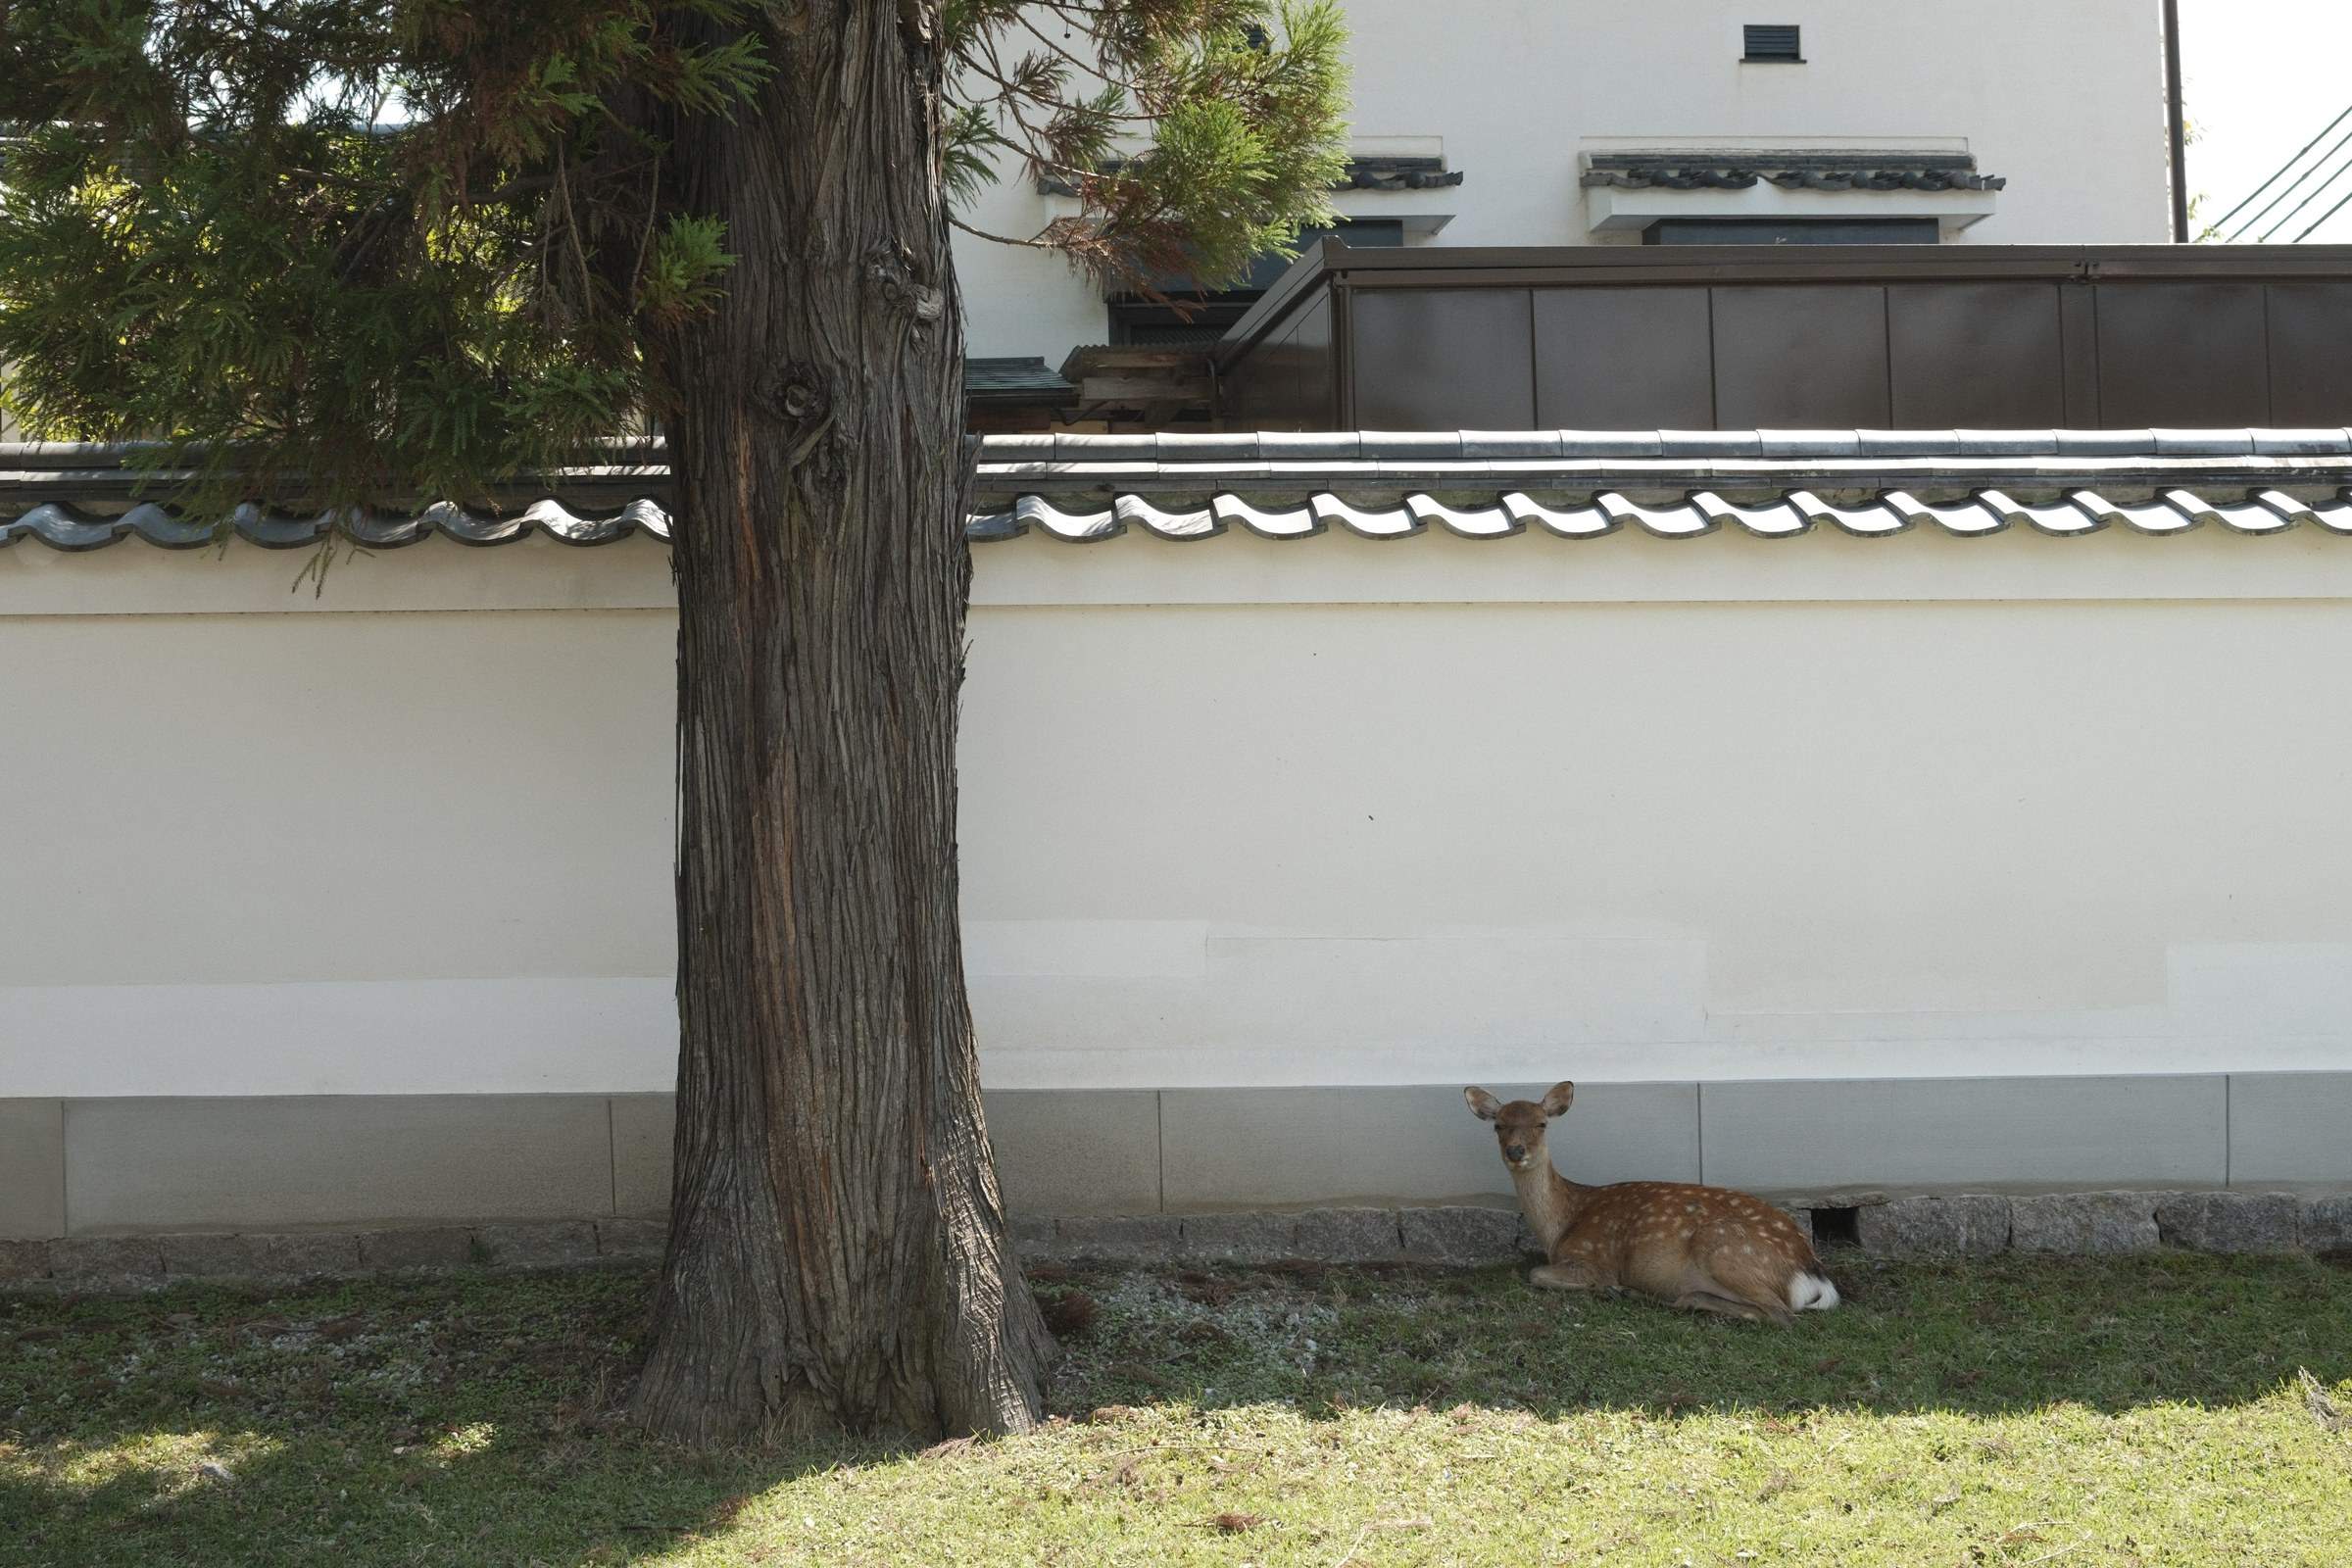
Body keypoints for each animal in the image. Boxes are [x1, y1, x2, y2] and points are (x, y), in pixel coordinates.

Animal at [1464, 1081, 1838, 1324]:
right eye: (1498, 1125)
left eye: (1542, 1123)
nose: (1516, 1151)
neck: (1561, 1225)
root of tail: (1812, 1273)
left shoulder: (1591, 1258)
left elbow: (1535, 1273)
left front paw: (1608, 1286)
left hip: (1725, 1249)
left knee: (1781, 1314)